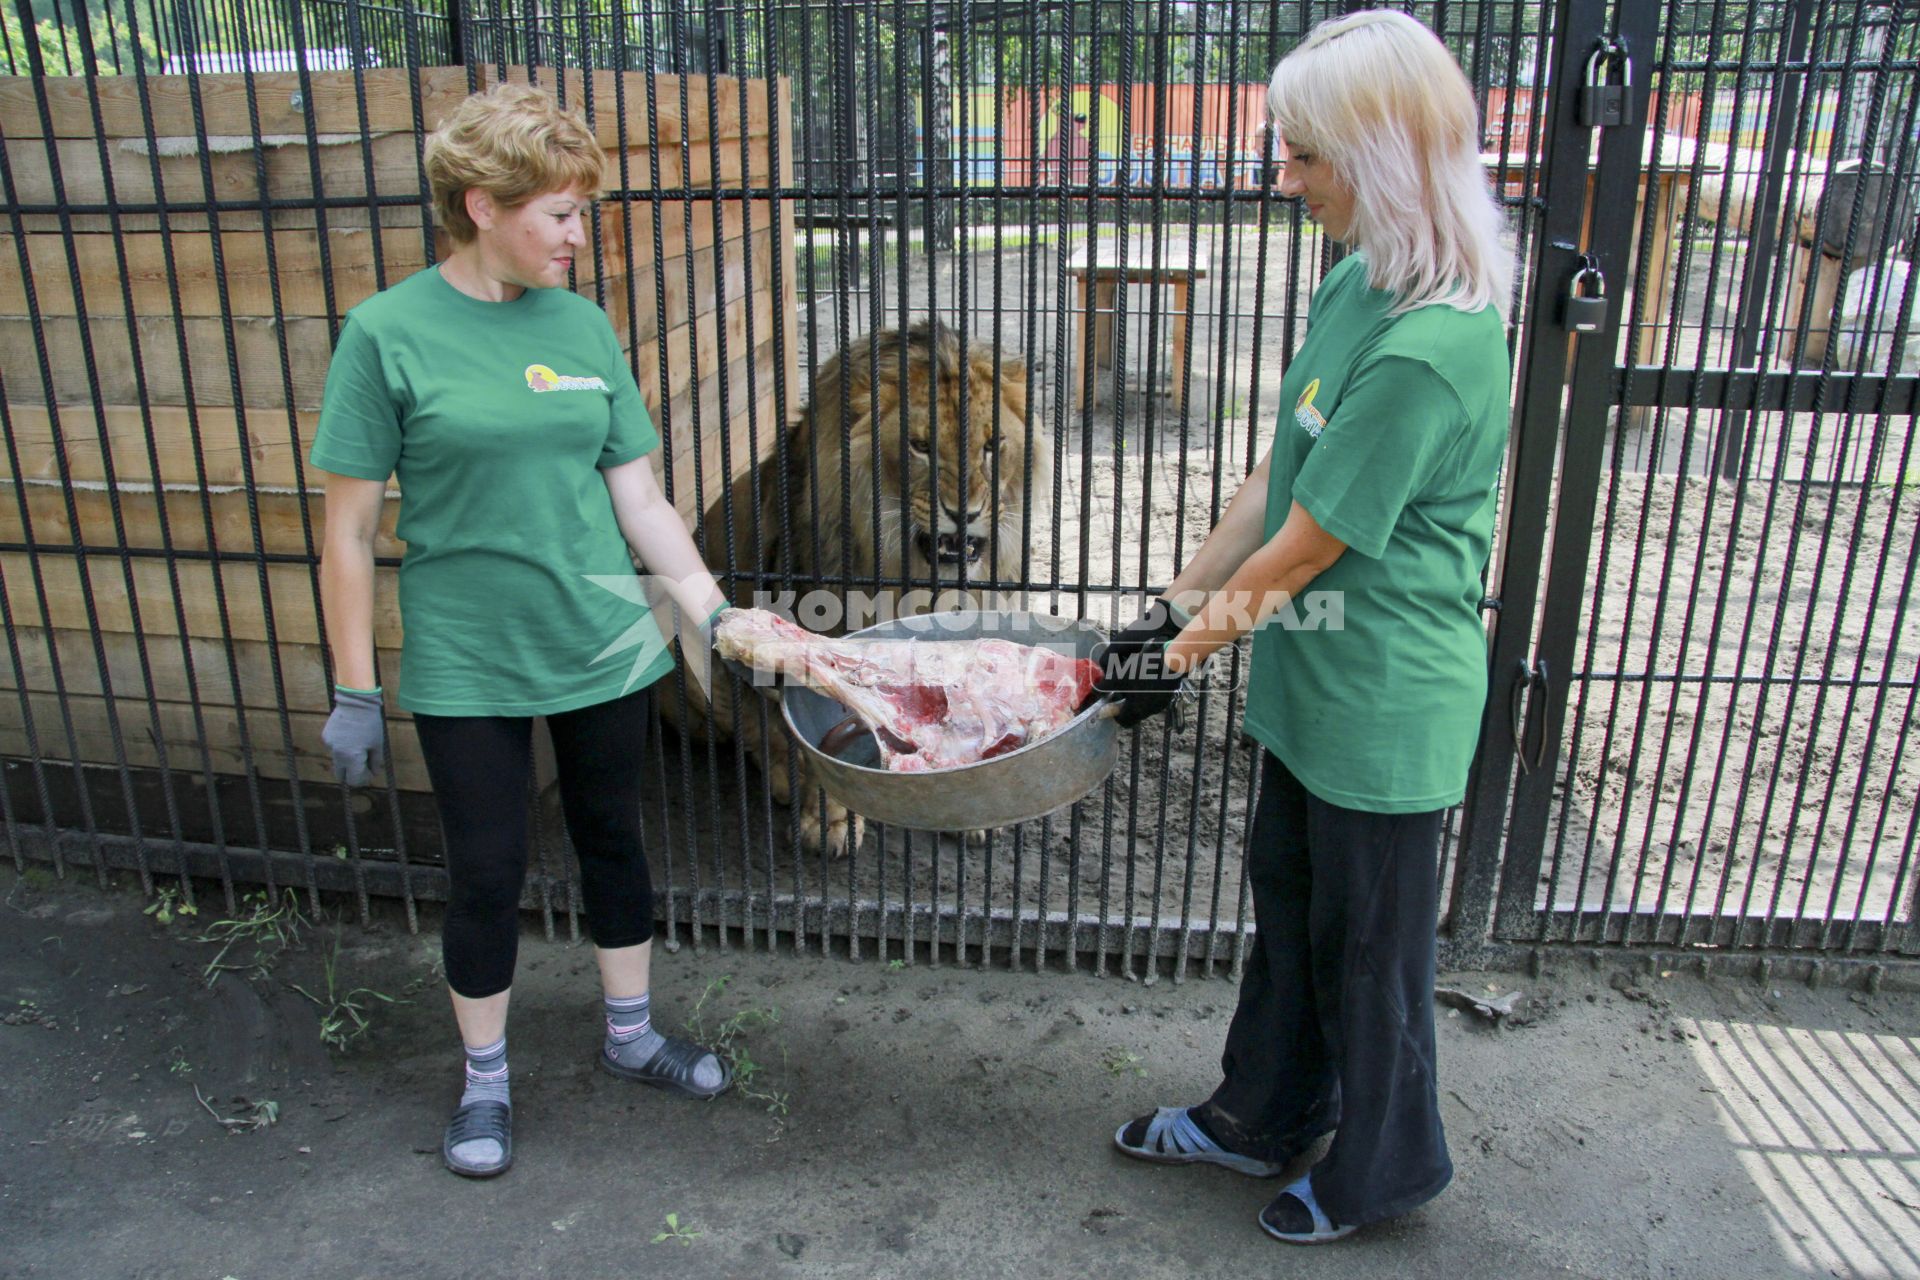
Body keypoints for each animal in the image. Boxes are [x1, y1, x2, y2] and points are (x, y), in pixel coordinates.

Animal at [660, 320, 1052, 859]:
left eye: (994, 446)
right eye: (920, 446)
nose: (965, 514)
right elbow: (814, 736)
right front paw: (829, 820)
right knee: (755, 734)